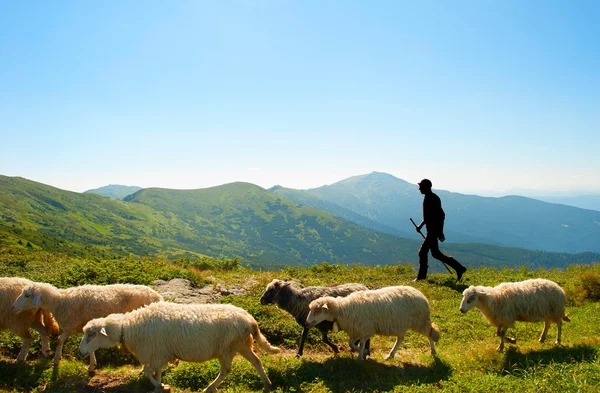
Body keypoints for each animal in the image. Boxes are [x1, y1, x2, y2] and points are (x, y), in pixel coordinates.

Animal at [12, 280, 162, 370]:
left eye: (27, 295)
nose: (13, 306)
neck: (60, 301)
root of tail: (158, 296)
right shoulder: (83, 326)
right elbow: (89, 346)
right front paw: (92, 364)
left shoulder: (70, 325)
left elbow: (60, 340)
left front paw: (56, 359)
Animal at [78, 302, 282, 390]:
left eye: (91, 334)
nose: (80, 352)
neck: (128, 328)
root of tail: (249, 318)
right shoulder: (158, 354)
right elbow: (155, 372)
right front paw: (158, 385)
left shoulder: (157, 354)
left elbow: (147, 372)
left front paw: (161, 385)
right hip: (241, 344)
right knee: (256, 361)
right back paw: (267, 385)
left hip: (227, 347)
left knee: (226, 370)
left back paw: (209, 388)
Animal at [308, 284, 438, 360]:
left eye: (317, 311)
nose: (307, 322)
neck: (342, 308)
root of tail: (420, 294)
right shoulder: (358, 330)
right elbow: (351, 343)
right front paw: (362, 352)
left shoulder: (365, 329)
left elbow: (360, 344)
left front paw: (360, 357)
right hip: (400, 324)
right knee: (400, 339)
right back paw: (390, 355)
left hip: (420, 321)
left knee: (430, 333)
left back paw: (433, 351)